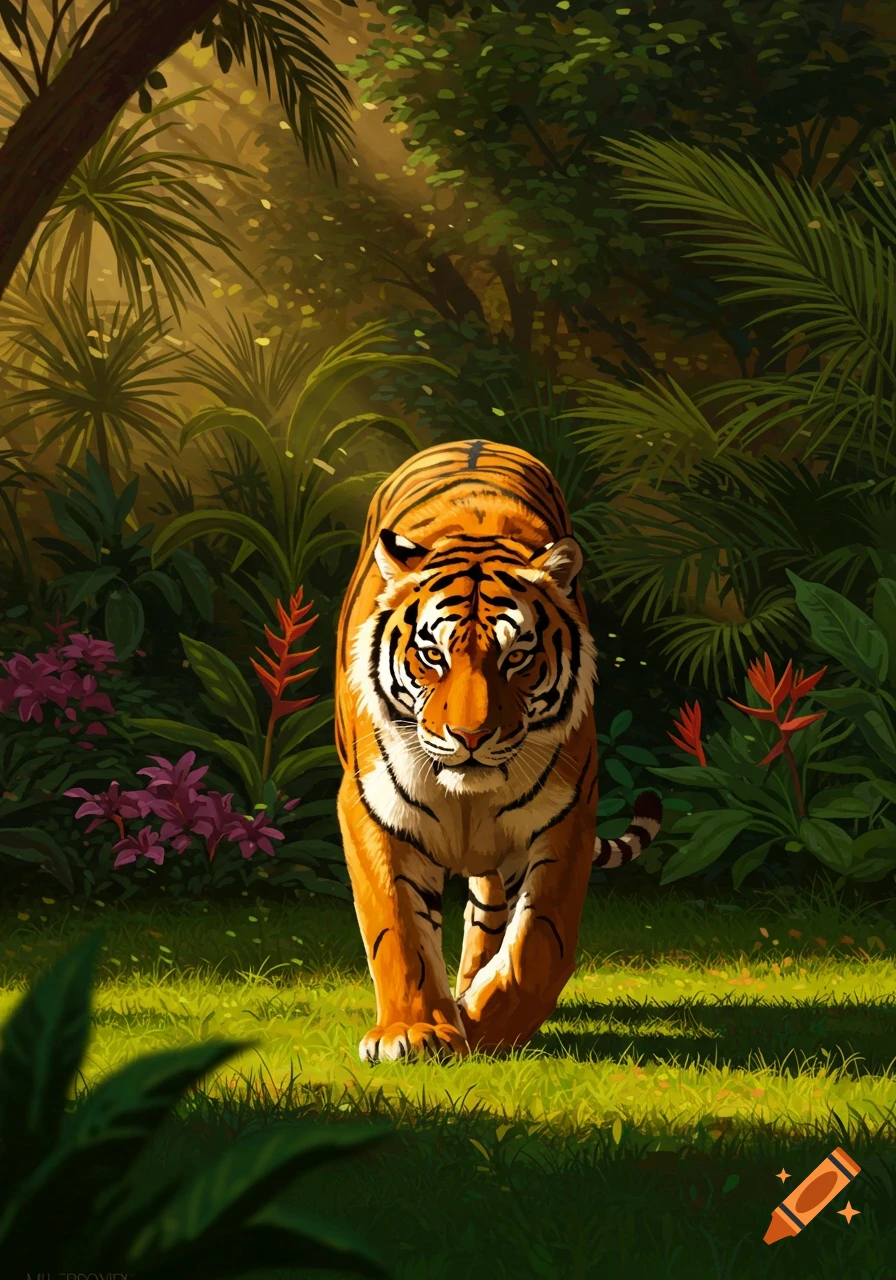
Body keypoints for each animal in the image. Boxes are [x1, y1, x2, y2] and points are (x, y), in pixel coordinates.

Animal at [334, 439, 662, 1062]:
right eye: (432, 655)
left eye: (516, 657)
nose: (471, 737)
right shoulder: (371, 809)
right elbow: (397, 928)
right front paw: (411, 1031)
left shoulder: (566, 816)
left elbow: (539, 941)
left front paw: (487, 1027)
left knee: (489, 910)